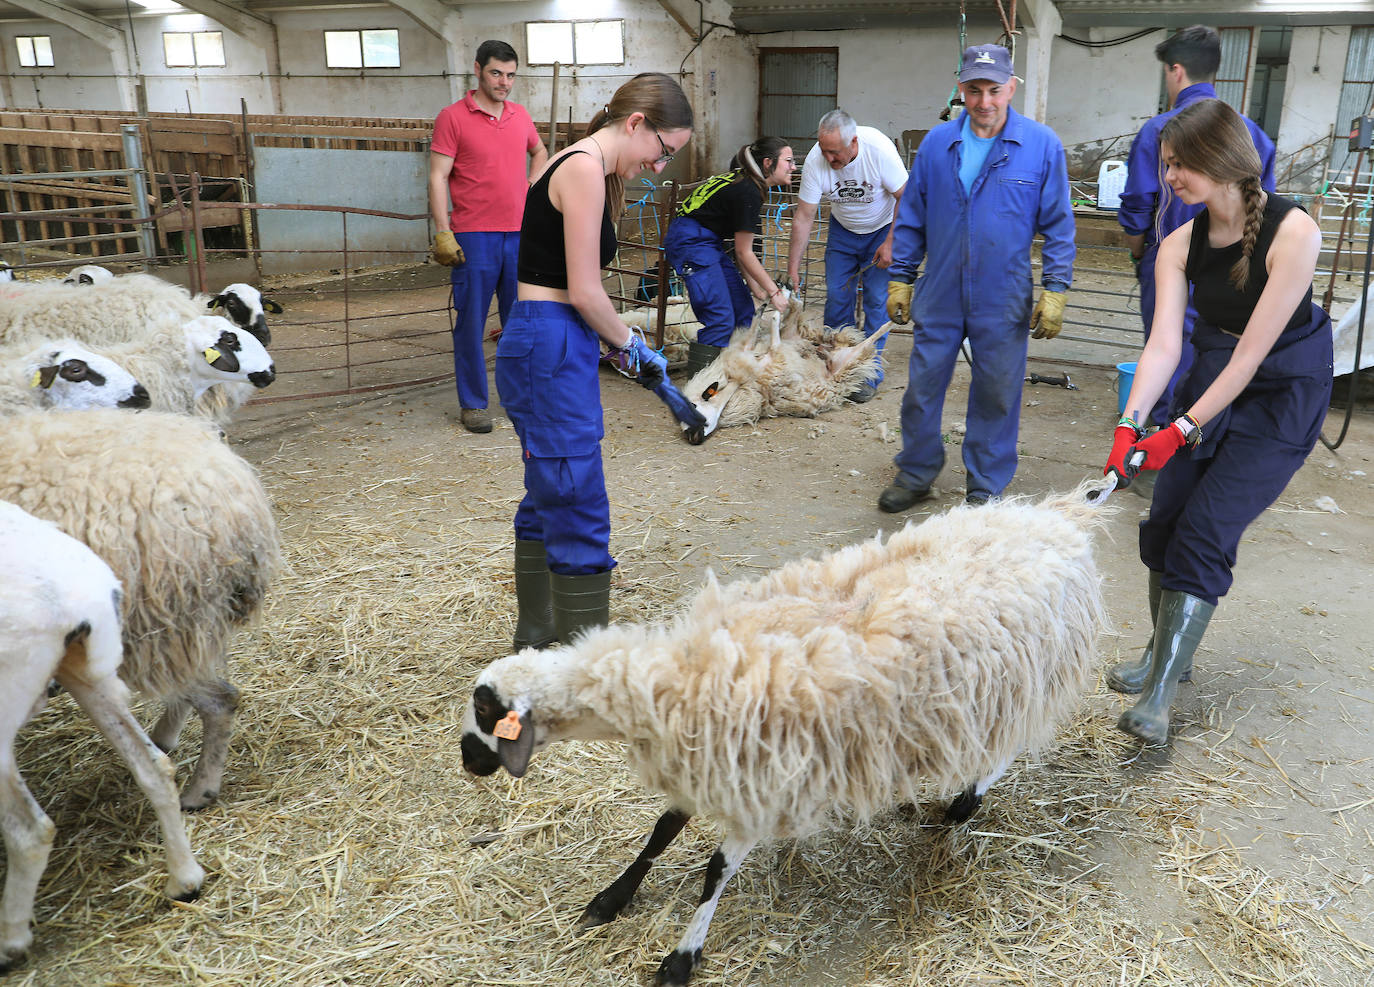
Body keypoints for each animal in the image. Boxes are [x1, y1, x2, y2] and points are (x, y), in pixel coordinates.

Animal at [0, 503, 206, 973]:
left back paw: (10, 940)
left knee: (31, 830)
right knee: (155, 766)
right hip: (80, 669)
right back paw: (185, 880)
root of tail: (80, 591)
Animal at [461, 486, 1104, 987]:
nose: (468, 761)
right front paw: (611, 900)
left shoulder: (764, 788)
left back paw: (963, 804)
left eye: (485, 709)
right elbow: (661, 833)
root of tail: (1062, 516)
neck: (677, 678)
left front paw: (680, 960)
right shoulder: (708, 764)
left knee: (1007, 749)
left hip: (1027, 682)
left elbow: (713, 873)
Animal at [676, 298, 890, 445]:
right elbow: (769, 340)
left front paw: (764, 311)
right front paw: (770, 314)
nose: (693, 437)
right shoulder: (774, 360)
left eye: (692, 407)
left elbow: (754, 338)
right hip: (849, 359)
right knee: (871, 338)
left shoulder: (759, 358)